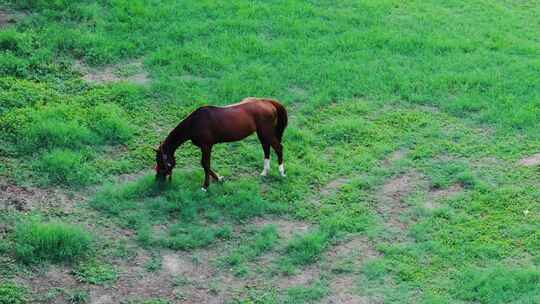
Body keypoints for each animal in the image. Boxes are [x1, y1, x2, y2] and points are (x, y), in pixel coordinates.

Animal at [155, 97, 288, 190]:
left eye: (160, 161)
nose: (157, 180)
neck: (195, 123)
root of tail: (267, 102)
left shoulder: (206, 146)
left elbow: (205, 164)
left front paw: (206, 186)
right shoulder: (205, 147)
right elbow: (205, 164)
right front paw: (219, 179)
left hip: (266, 133)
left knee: (278, 148)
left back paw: (281, 173)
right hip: (262, 134)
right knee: (266, 148)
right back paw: (265, 172)